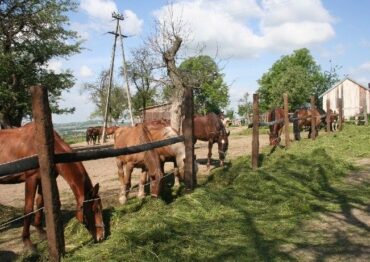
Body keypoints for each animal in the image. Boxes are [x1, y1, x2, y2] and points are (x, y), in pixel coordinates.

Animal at [0, 122, 104, 250]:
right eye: (95, 209)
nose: (101, 236)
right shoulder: (31, 179)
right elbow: (28, 209)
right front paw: (27, 241)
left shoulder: (42, 179)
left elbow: (40, 203)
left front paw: (41, 231)